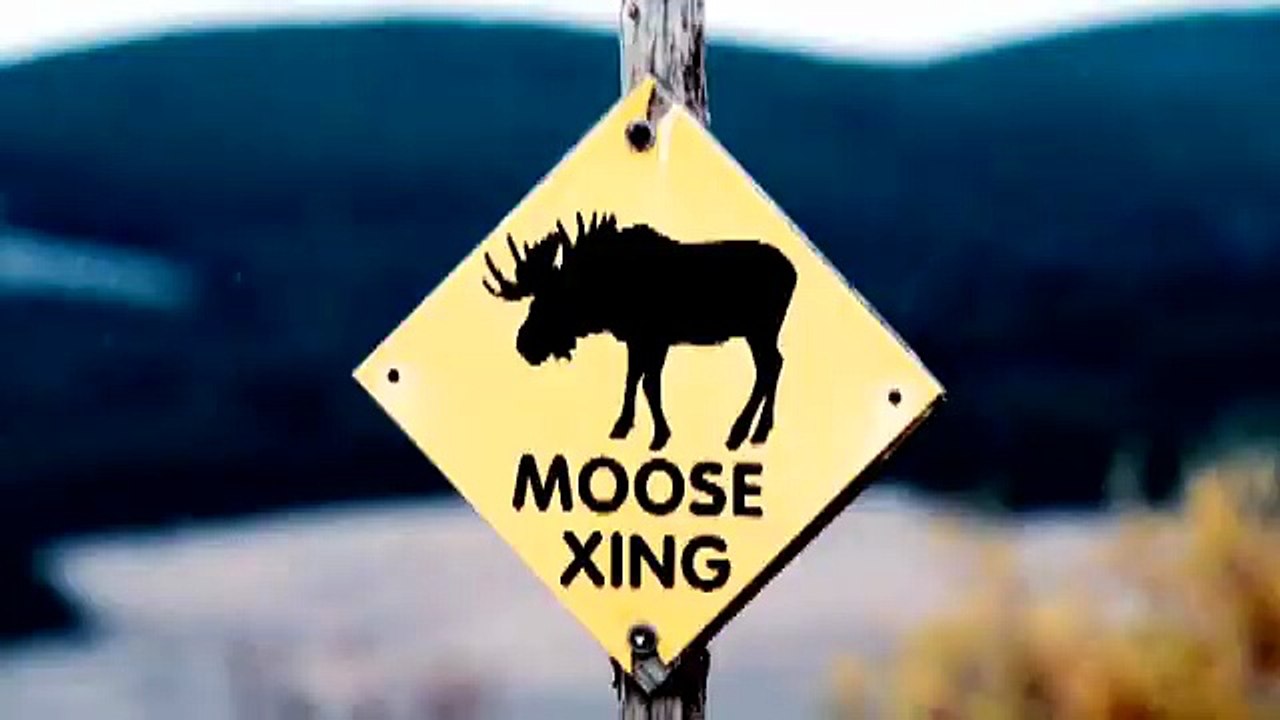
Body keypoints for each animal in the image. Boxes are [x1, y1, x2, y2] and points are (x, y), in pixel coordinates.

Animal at [483, 212, 797, 452]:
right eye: (535, 302)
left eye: (552, 302)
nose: (524, 343)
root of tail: (793, 272)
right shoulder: (638, 340)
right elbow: (634, 380)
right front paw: (623, 426)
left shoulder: (655, 338)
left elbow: (649, 384)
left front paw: (659, 436)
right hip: (763, 332)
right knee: (775, 364)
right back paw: (759, 431)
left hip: (760, 329)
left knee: (768, 367)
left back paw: (740, 432)